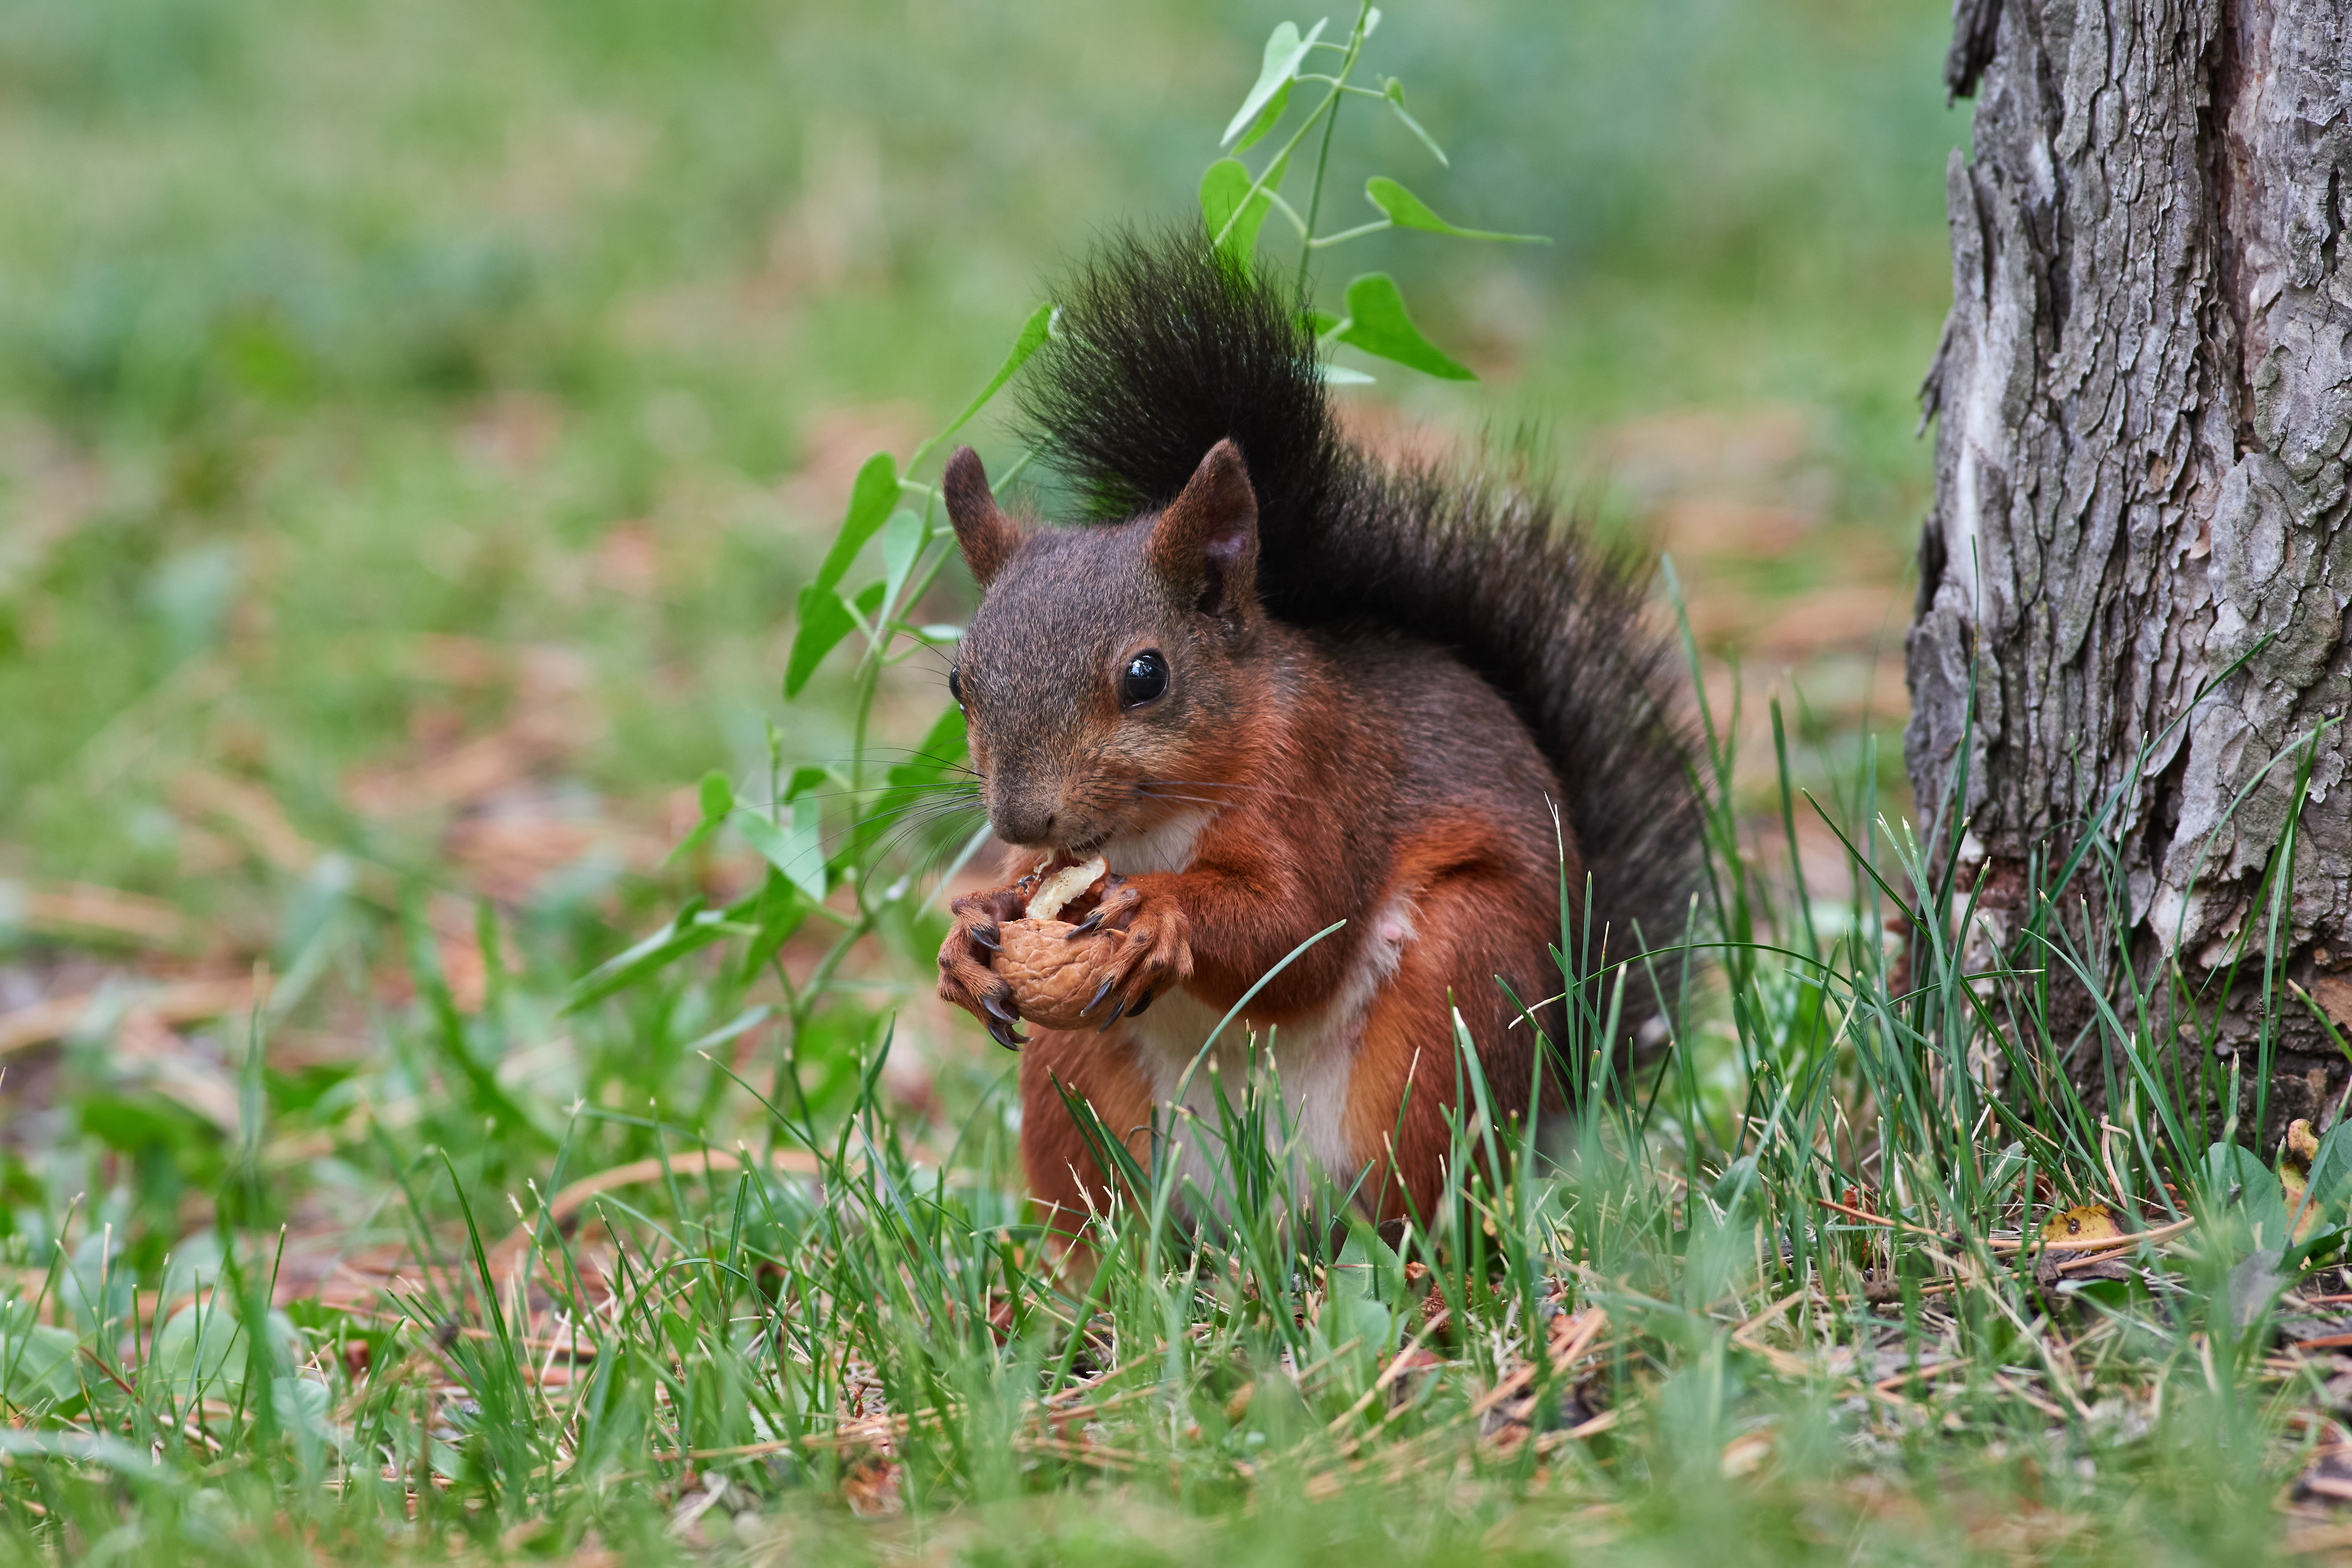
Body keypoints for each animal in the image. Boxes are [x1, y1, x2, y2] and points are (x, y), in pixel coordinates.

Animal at [927, 230, 1703, 1241]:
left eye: (1146, 676)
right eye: (959, 683)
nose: (1021, 818)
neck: (1151, 829)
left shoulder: (1322, 775)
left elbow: (1300, 929)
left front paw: (1160, 913)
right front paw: (969, 933)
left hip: (1455, 1002)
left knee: (1424, 1189)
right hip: (1074, 1090)